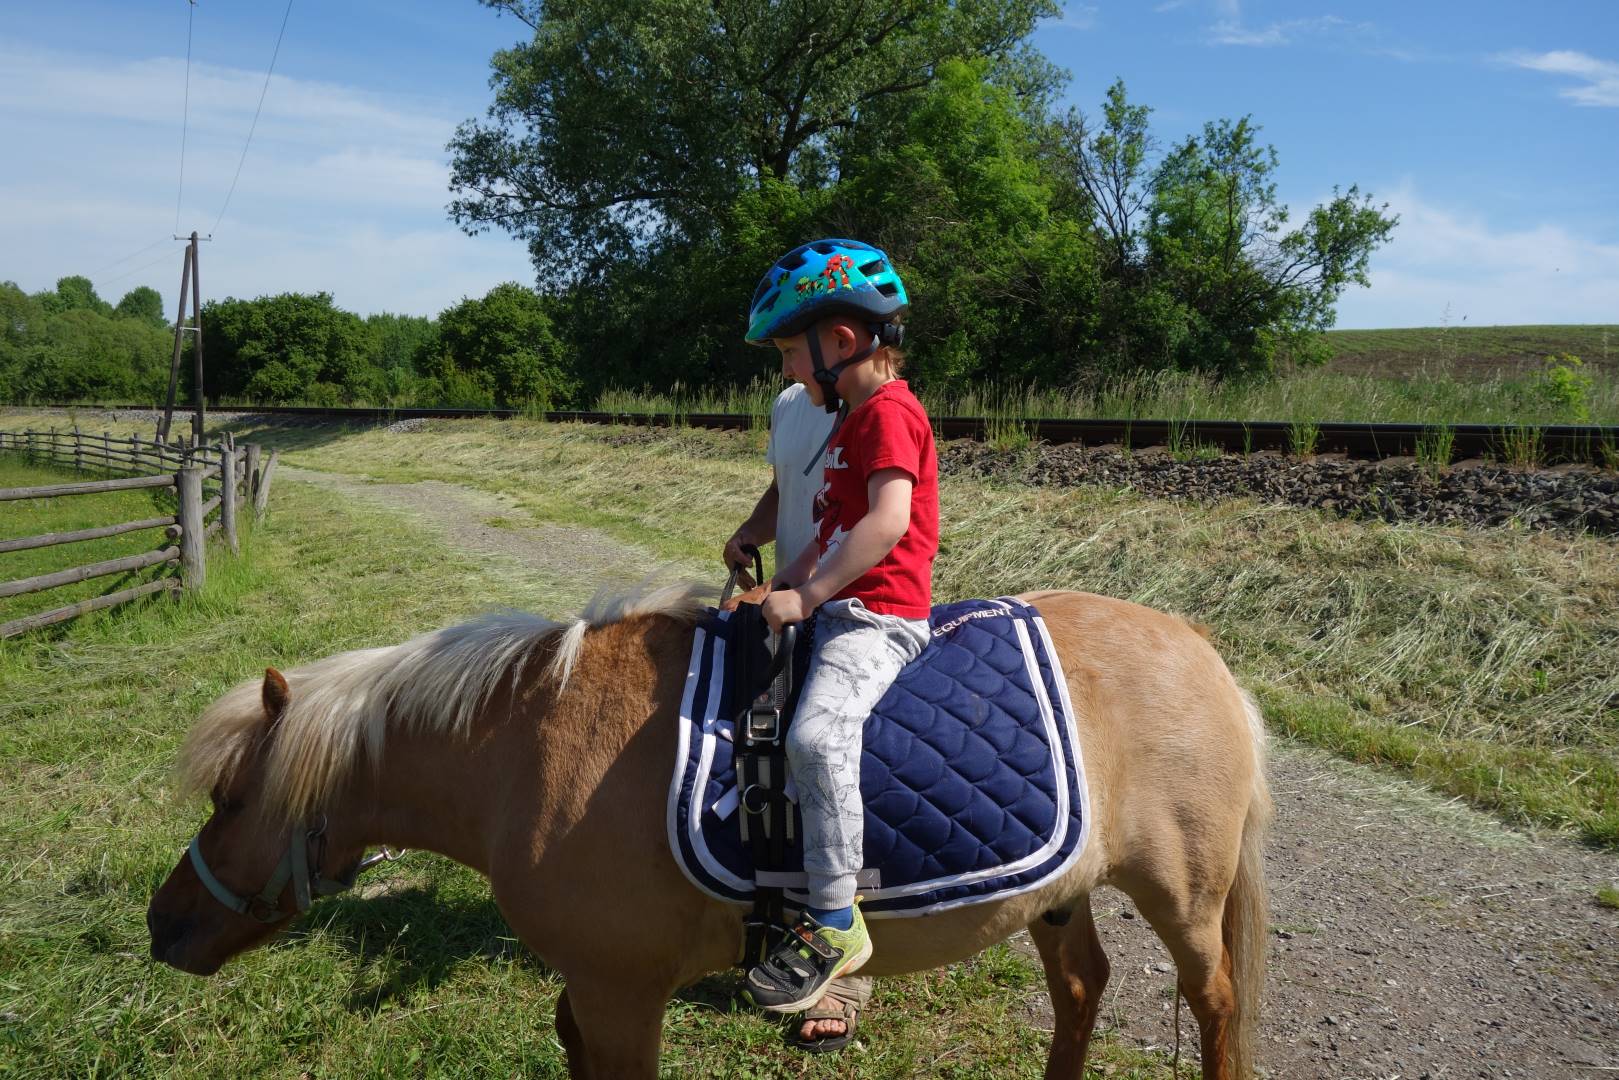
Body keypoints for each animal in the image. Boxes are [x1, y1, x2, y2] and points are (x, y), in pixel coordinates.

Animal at [147, 583, 1271, 1079]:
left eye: (231, 800)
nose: (163, 924)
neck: (526, 749)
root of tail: (1198, 643)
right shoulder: (595, 985)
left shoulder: (622, 992)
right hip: (1057, 891)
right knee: (1082, 988)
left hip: (1181, 893)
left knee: (1212, 999)